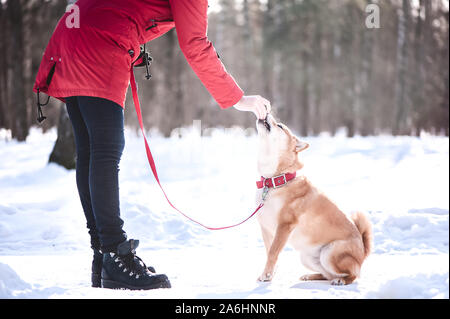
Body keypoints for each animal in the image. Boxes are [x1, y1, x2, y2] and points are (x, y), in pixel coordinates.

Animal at [255, 116, 370, 286]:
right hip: (306, 258)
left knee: (352, 275)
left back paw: (341, 280)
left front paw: (266, 275)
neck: (275, 181)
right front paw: (270, 274)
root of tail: (362, 253)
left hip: (329, 253)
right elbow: (269, 251)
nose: (267, 114)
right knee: (327, 274)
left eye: (280, 126)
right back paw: (310, 276)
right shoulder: (266, 228)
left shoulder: (284, 225)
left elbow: (273, 252)